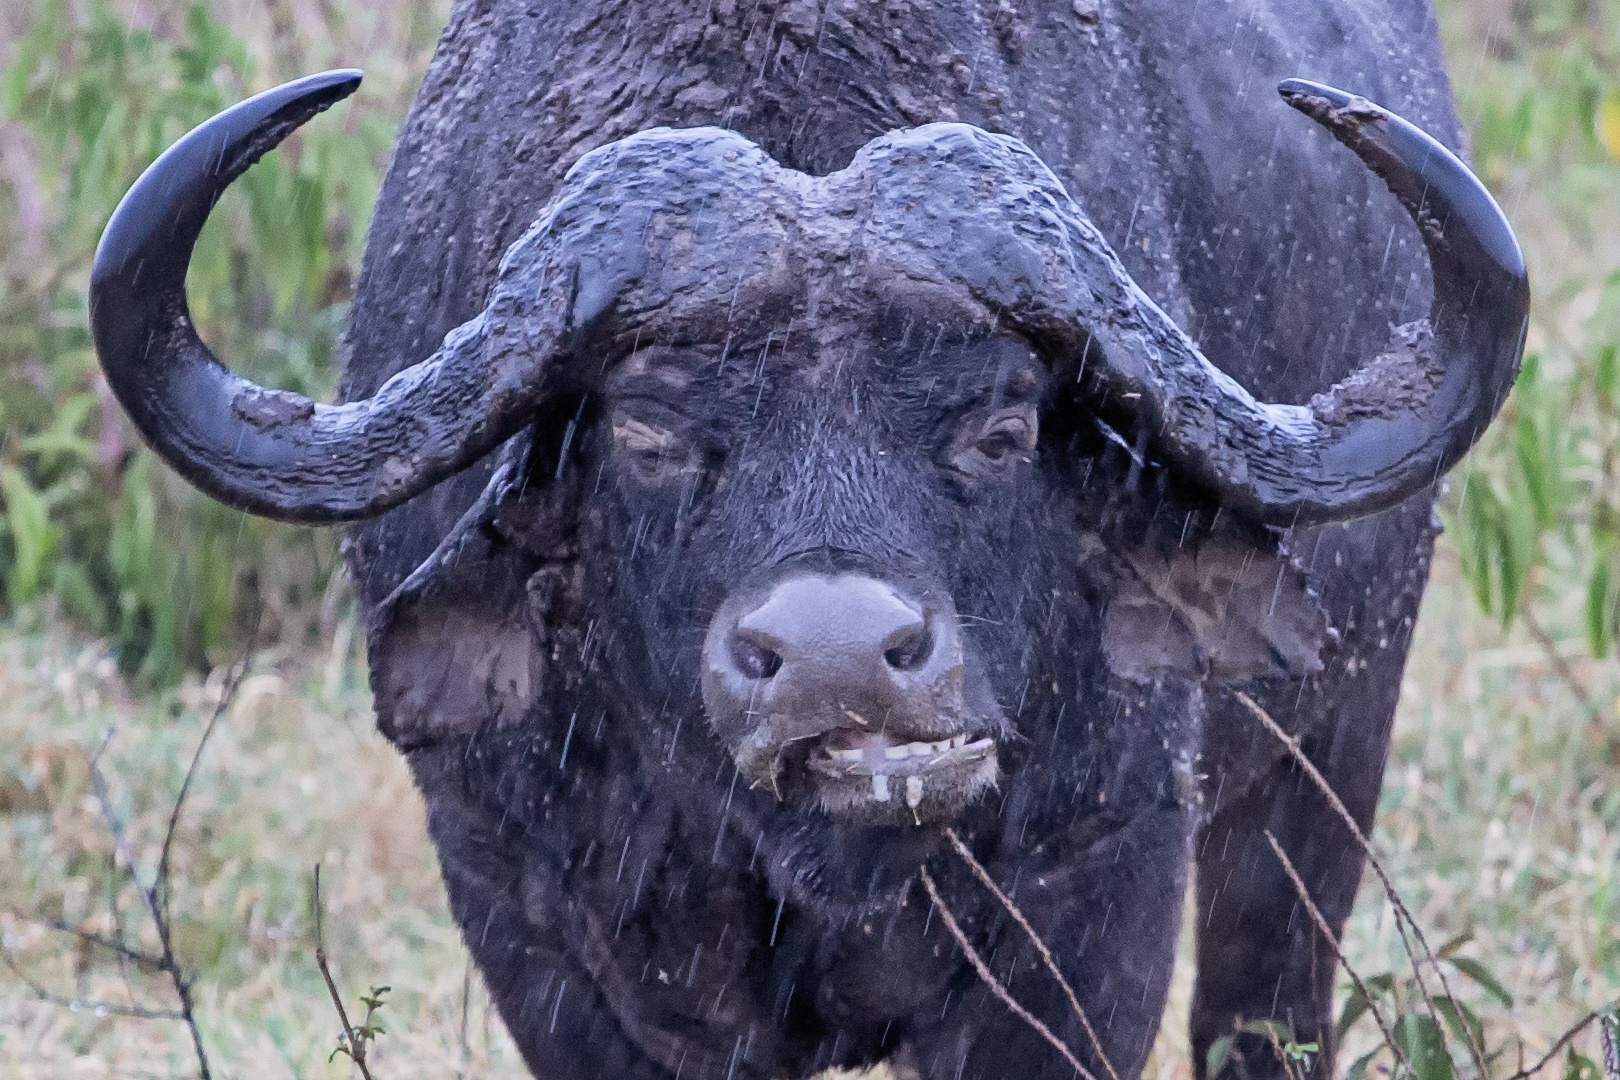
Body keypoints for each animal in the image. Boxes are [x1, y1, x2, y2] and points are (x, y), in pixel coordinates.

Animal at [94, 4, 1522, 1075]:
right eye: (649, 429)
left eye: (1000, 425)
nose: (839, 665)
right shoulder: (532, 927)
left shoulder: (1098, 897)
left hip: (1322, 765)